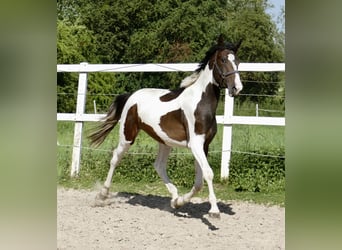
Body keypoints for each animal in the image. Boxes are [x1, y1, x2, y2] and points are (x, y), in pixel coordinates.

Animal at [89, 36, 242, 218]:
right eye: (223, 60)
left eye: (238, 61)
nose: (237, 88)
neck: (200, 103)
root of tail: (131, 95)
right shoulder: (196, 144)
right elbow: (208, 173)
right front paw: (214, 211)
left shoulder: (203, 146)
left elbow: (199, 181)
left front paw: (180, 202)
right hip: (127, 136)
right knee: (115, 158)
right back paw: (102, 195)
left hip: (164, 141)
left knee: (159, 166)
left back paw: (174, 198)